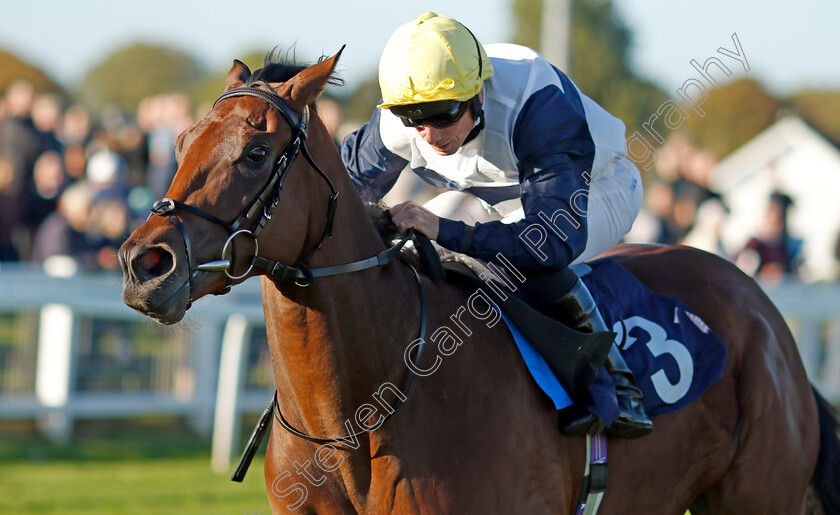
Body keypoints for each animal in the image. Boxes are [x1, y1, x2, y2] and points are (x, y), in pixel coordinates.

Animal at [120, 49, 840, 515]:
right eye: (179, 142)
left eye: (255, 153)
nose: (144, 264)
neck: (357, 420)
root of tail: (762, 307)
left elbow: (549, 237)